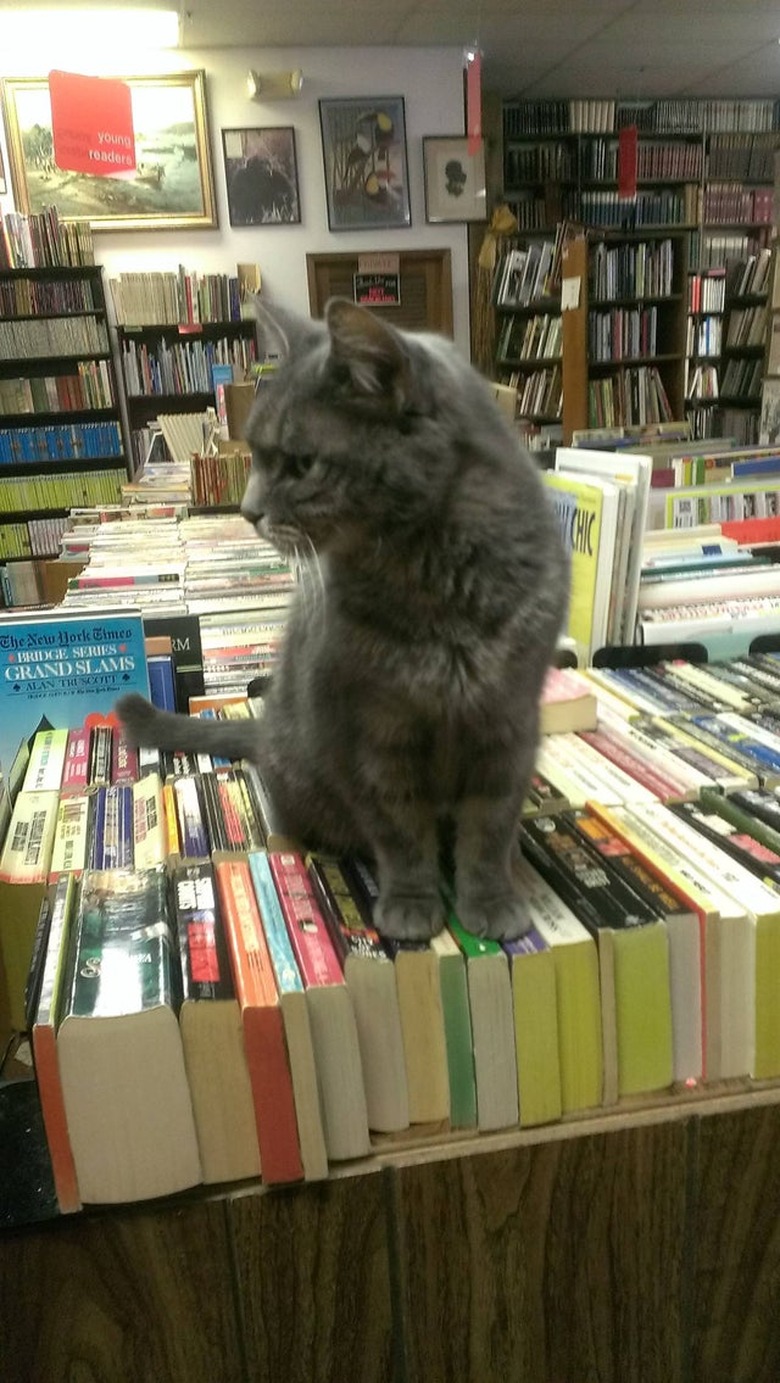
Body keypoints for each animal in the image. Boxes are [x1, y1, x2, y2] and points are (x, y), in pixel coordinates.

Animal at [117, 297, 567, 945]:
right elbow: (401, 832)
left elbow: (489, 828)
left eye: (302, 463)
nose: (248, 511)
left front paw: (491, 900)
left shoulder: (506, 723)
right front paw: (412, 904)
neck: (434, 580)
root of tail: (265, 729)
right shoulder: (370, 733)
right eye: (256, 457)